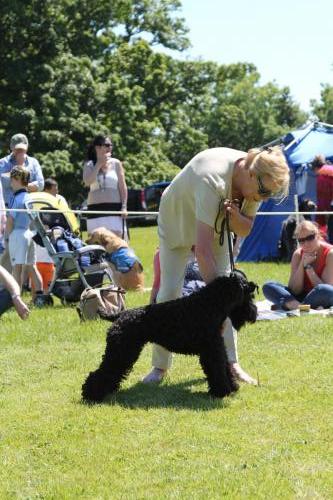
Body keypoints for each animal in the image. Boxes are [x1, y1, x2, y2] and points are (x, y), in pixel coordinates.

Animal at [81, 270, 256, 402]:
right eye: (250, 295)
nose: (253, 314)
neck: (210, 305)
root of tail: (120, 315)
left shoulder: (217, 347)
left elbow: (224, 366)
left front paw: (232, 387)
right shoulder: (211, 350)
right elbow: (217, 369)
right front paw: (222, 391)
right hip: (121, 351)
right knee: (101, 372)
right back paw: (91, 394)